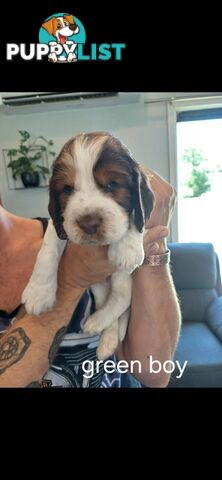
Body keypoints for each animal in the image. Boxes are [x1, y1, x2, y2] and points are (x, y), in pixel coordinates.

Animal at [22, 133, 154, 358]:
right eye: (67, 189)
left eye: (112, 185)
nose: (88, 223)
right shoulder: (60, 222)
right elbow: (48, 248)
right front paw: (38, 293)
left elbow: (136, 217)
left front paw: (127, 248)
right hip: (97, 285)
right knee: (109, 301)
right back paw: (104, 335)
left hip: (123, 278)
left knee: (123, 296)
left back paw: (97, 324)